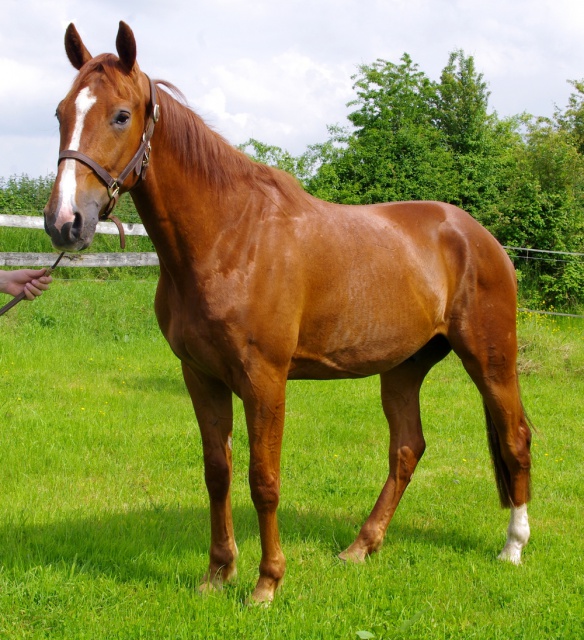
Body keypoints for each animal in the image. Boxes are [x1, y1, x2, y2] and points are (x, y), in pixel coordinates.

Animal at [44, 22, 528, 604]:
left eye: (120, 115)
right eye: (60, 113)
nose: (64, 222)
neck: (229, 236)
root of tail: (480, 238)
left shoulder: (265, 379)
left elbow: (264, 479)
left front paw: (266, 582)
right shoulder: (201, 375)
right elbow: (218, 472)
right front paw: (218, 572)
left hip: (491, 359)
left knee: (515, 438)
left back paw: (513, 547)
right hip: (403, 369)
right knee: (407, 448)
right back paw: (361, 546)